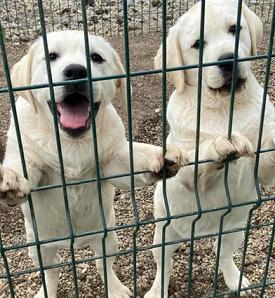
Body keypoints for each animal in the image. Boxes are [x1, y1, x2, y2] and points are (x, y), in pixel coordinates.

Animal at [0, 30, 190, 298]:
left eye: (96, 57)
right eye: (51, 56)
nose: (76, 71)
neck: (72, 142)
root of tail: (76, 243)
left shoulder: (111, 164)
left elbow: (131, 160)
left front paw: (159, 156)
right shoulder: (31, 160)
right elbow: (24, 167)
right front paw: (11, 179)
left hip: (108, 237)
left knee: (103, 264)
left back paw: (116, 289)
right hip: (38, 248)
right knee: (52, 271)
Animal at [146, 1, 274, 296]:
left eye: (235, 29)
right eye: (197, 44)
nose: (228, 60)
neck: (224, 107)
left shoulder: (261, 169)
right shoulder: (183, 171)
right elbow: (199, 154)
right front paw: (219, 144)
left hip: (234, 230)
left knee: (223, 254)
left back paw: (235, 279)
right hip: (164, 234)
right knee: (164, 267)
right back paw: (156, 289)